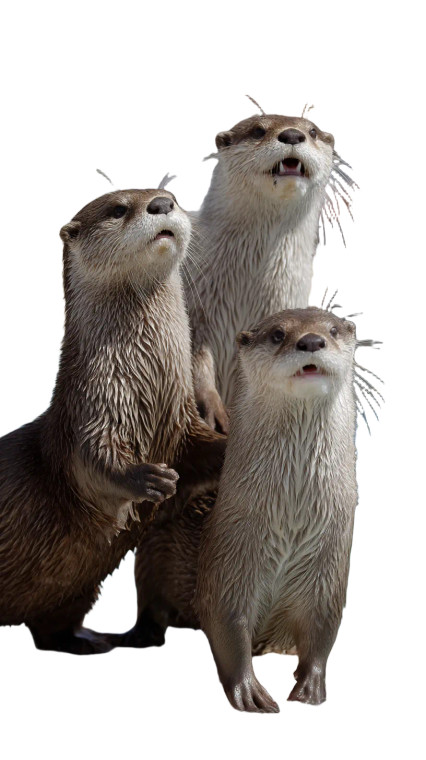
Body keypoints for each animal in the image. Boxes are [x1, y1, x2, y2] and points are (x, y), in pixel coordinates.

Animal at [0, 188, 224, 654]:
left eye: (171, 197)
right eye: (120, 208)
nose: (161, 204)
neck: (146, 391)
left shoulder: (181, 426)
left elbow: (205, 455)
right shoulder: (87, 415)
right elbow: (92, 463)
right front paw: (147, 479)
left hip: (75, 590)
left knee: (48, 632)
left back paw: (91, 640)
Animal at [124, 308, 359, 711]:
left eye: (332, 329)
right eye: (278, 334)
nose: (311, 341)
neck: (292, 523)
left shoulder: (330, 568)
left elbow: (322, 633)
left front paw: (310, 688)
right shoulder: (230, 562)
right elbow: (228, 628)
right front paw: (249, 692)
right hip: (151, 559)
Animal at [187, 112, 355, 432]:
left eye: (312, 131)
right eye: (258, 130)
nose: (292, 135)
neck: (246, 286)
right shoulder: (195, 302)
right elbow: (194, 357)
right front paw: (215, 410)